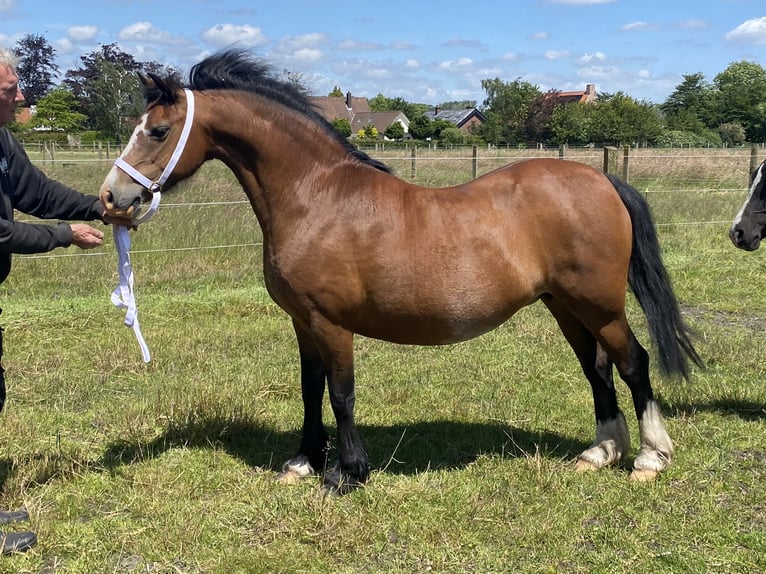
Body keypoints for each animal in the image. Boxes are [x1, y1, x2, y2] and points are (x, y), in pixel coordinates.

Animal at [99, 49, 704, 496]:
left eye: (157, 131)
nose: (111, 197)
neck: (316, 196)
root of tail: (601, 180)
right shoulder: (302, 322)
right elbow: (310, 389)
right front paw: (302, 462)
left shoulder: (331, 323)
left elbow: (341, 393)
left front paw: (346, 474)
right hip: (565, 305)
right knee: (597, 368)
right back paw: (600, 452)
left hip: (599, 304)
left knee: (632, 362)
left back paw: (650, 457)